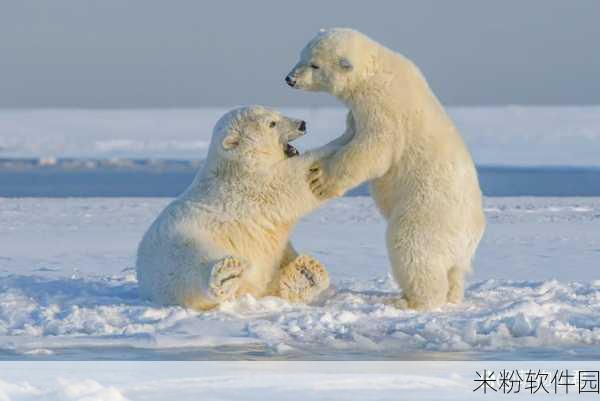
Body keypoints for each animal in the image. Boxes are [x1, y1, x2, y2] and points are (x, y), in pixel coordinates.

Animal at [136, 106, 342, 310]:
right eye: (272, 123)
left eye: (276, 112)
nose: (302, 124)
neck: (236, 164)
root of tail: (144, 282)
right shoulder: (253, 185)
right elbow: (291, 180)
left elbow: (280, 250)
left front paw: (306, 271)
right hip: (180, 244)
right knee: (194, 265)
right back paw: (227, 274)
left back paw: (307, 271)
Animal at [286, 28, 488, 310]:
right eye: (301, 56)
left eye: (314, 65)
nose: (290, 79)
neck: (375, 69)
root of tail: (472, 234)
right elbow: (350, 134)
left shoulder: (384, 108)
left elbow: (373, 148)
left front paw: (320, 179)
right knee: (455, 272)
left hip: (427, 213)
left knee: (412, 249)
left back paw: (409, 301)